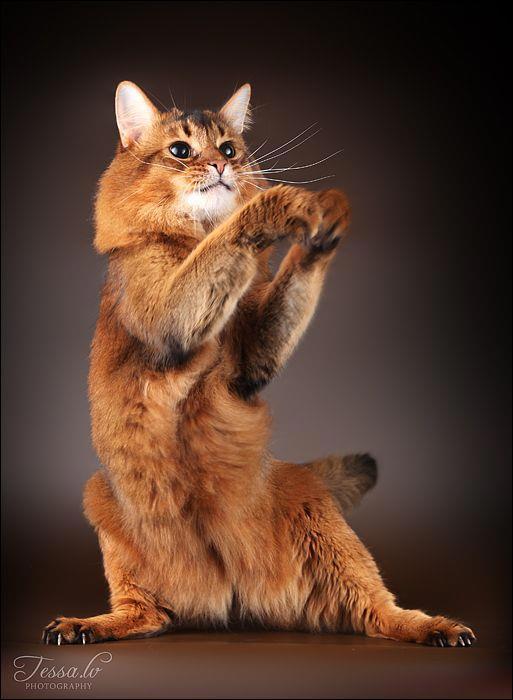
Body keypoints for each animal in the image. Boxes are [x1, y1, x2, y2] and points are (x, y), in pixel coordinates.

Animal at [43, 82, 475, 647]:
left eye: (229, 148)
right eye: (181, 150)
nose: (221, 166)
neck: (193, 233)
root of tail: (225, 599)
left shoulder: (249, 359)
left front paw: (326, 218)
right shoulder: (168, 320)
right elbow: (225, 241)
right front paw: (278, 202)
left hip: (315, 513)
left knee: (377, 610)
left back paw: (435, 627)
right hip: (101, 499)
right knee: (150, 614)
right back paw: (86, 625)